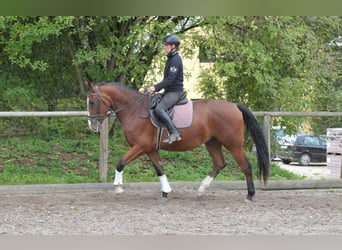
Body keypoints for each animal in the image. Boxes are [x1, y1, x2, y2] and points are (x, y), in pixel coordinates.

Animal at [86, 81, 270, 202]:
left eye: (93, 102)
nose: (92, 126)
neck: (134, 110)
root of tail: (235, 106)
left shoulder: (140, 146)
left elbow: (120, 163)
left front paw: (118, 187)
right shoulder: (150, 149)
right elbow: (159, 168)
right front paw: (166, 191)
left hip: (233, 144)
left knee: (246, 166)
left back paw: (250, 195)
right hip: (212, 142)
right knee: (219, 163)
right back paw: (201, 190)